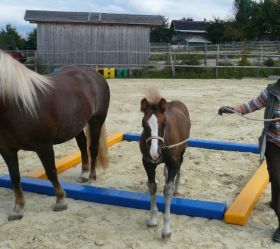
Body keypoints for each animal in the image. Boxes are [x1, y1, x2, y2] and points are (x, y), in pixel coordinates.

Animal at [0, 50, 110, 220]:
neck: (18, 104)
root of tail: (94, 73)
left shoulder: (44, 146)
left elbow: (51, 172)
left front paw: (60, 201)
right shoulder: (7, 150)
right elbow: (15, 177)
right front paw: (18, 209)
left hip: (96, 121)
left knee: (93, 149)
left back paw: (91, 178)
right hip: (76, 125)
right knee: (82, 145)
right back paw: (84, 173)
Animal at [139, 88, 190, 239]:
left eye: (164, 124)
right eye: (143, 124)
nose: (154, 153)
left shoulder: (173, 161)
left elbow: (168, 189)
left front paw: (166, 229)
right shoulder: (147, 163)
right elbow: (152, 187)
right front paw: (152, 218)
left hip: (182, 151)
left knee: (179, 169)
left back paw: (177, 188)